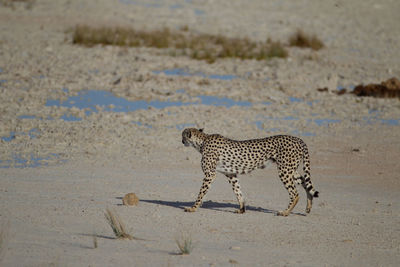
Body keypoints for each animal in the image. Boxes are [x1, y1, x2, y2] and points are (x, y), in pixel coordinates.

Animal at [181, 128, 318, 218]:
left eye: (183, 136)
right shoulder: (231, 174)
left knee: (295, 193)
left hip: (284, 170)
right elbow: (238, 191)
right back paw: (308, 207)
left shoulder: (210, 174)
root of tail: (298, 139)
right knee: (306, 184)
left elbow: (201, 193)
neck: (202, 141)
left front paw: (193, 208)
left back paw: (285, 212)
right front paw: (242, 209)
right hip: (291, 170)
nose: (182, 141)